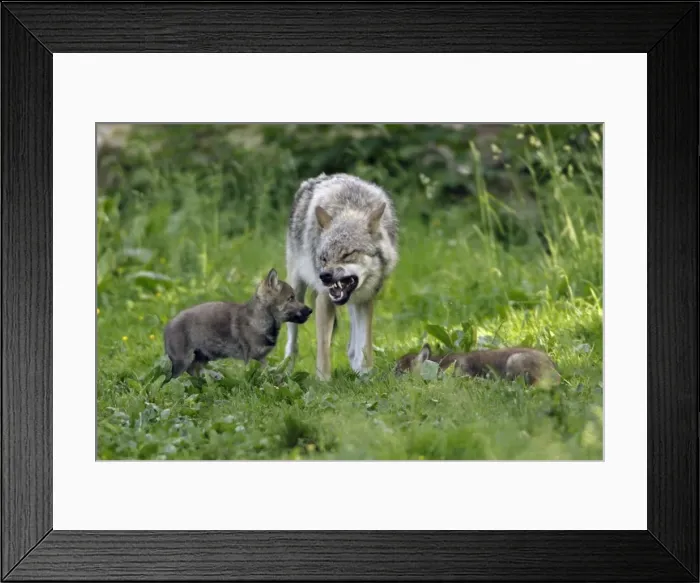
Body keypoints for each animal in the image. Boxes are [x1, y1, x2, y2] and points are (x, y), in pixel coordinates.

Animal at [164, 268, 312, 378]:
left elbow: (267, 373)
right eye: (291, 298)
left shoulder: (261, 359)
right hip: (182, 362)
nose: (310, 310)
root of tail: (167, 326)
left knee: (193, 372)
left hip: (201, 358)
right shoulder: (250, 358)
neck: (260, 320)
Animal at [284, 173, 399, 380]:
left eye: (347, 254)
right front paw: (323, 382)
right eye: (324, 258)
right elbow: (323, 351)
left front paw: (365, 377)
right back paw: (285, 371)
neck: (349, 207)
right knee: (292, 344)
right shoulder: (324, 299)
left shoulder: (365, 299)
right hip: (296, 292)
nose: (323, 276)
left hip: (353, 304)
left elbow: (364, 346)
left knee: (352, 346)